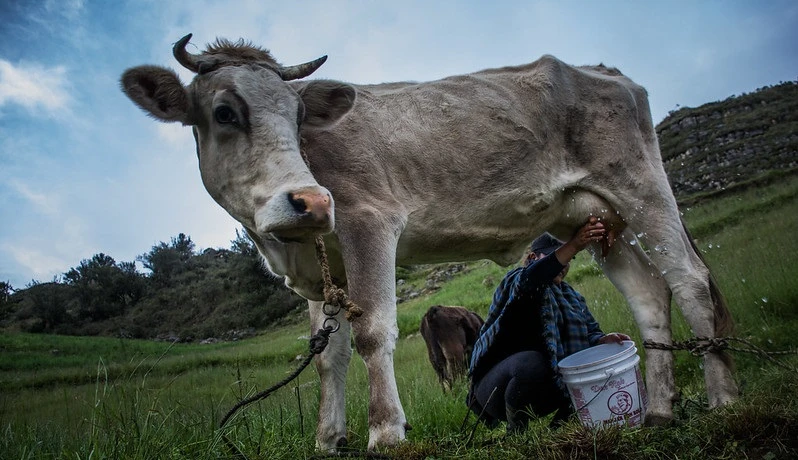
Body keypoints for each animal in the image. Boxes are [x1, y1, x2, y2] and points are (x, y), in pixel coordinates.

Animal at [122, 34, 740, 452]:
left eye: (298, 116)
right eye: (224, 112)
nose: (311, 202)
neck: (280, 246)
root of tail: (604, 69)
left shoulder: (369, 221)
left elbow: (372, 332)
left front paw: (385, 433)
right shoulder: (316, 270)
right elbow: (327, 357)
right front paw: (327, 439)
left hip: (641, 188)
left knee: (689, 281)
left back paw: (723, 399)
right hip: (590, 217)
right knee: (648, 293)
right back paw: (658, 412)